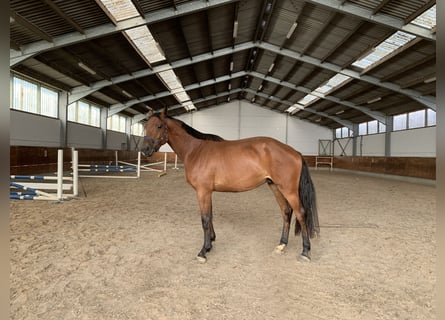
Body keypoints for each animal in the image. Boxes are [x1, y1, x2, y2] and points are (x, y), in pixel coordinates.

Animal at [140, 107, 318, 262]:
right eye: (145, 126)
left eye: (159, 126)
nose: (145, 149)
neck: (195, 150)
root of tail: (295, 152)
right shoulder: (207, 192)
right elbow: (210, 215)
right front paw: (211, 242)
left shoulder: (202, 191)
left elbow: (205, 219)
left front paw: (203, 251)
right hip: (275, 186)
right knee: (286, 212)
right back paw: (281, 245)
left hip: (289, 190)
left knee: (301, 213)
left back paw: (305, 251)